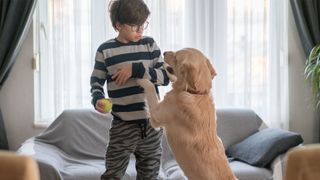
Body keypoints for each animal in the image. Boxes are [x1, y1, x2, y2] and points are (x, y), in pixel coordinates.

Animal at [136, 48, 236, 180]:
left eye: (176, 58)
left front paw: (140, 76)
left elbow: (151, 87)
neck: (196, 93)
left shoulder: (156, 117)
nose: (164, 52)